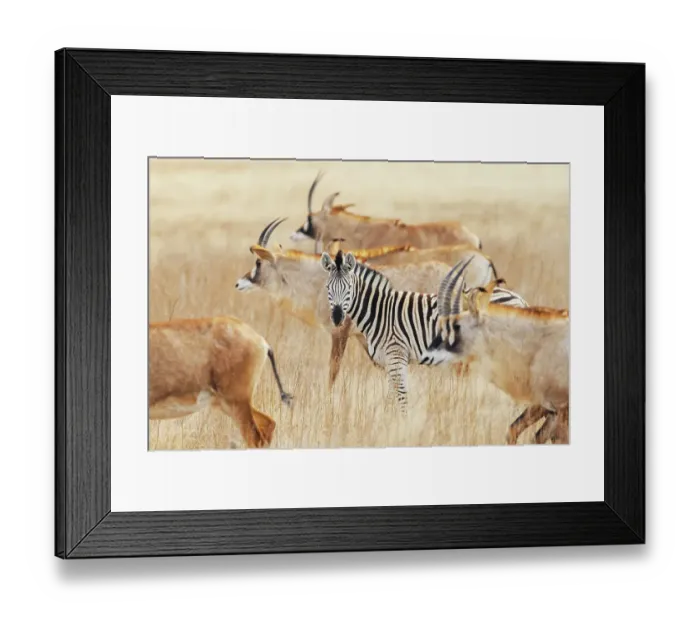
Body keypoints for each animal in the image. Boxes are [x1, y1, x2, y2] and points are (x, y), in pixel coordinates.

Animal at [236, 219, 523, 388]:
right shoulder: (366, 339)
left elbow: (333, 371)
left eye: (258, 262)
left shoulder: (340, 333)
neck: (320, 279)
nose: (239, 283)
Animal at [320, 250, 528, 416]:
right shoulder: (390, 359)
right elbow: (391, 395)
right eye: (328, 288)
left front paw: (401, 424)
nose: (337, 318)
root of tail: (520, 300)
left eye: (348, 288)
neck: (381, 311)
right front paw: (388, 421)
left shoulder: (396, 354)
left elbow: (401, 395)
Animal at [419, 259, 570, 445]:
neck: (541, 343)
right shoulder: (550, 408)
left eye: (456, 325)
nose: (427, 355)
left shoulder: (560, 409)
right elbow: (516, 431)